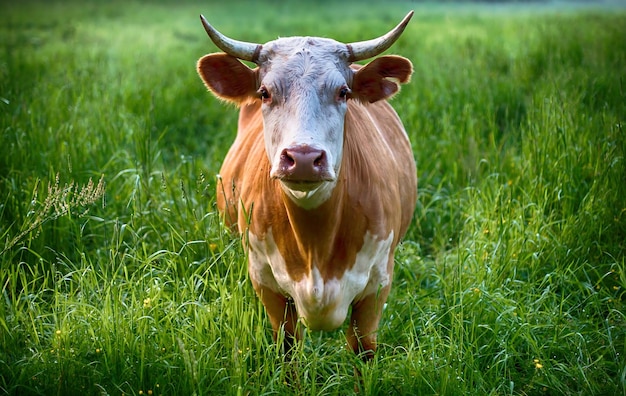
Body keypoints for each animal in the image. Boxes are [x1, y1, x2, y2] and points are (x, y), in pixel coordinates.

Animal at [197, 10, 416, 360]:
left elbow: (363, 350)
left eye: (343, 92)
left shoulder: (378, 285)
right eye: (265, 93)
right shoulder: (265, 282)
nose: (302, 157)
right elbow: (287, 348)